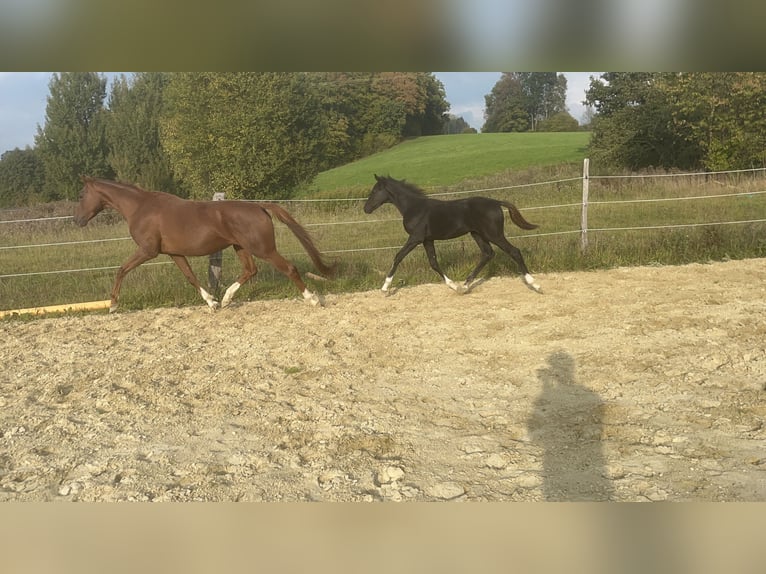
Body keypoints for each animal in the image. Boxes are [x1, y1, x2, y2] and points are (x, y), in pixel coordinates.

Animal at [74, 177, 335, 312]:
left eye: (81, 195)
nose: (77, 220)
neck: (140, 207)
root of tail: (259, 206)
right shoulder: (174, 253)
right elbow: (190, 277)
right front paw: (212, 302)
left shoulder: (148, 251)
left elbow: (121, 270)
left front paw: (113, 305)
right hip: (241, 247)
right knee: (250, 270)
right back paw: (227, 299)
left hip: (263, 249)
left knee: (288, 268)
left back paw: (313, 299)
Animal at [363, 174, 542, 294]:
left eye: (375, 190)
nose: (366, 209)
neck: (414, 207)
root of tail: (496, 202)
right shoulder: (427, 239)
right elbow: (433, 263)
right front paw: (454, 285)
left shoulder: (415, 238)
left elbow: (398, 256)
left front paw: (385, 288)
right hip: (477, 234)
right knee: (487, 253)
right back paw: (465, 285)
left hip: (494, 234)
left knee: (514, 251)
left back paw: (535, 284)